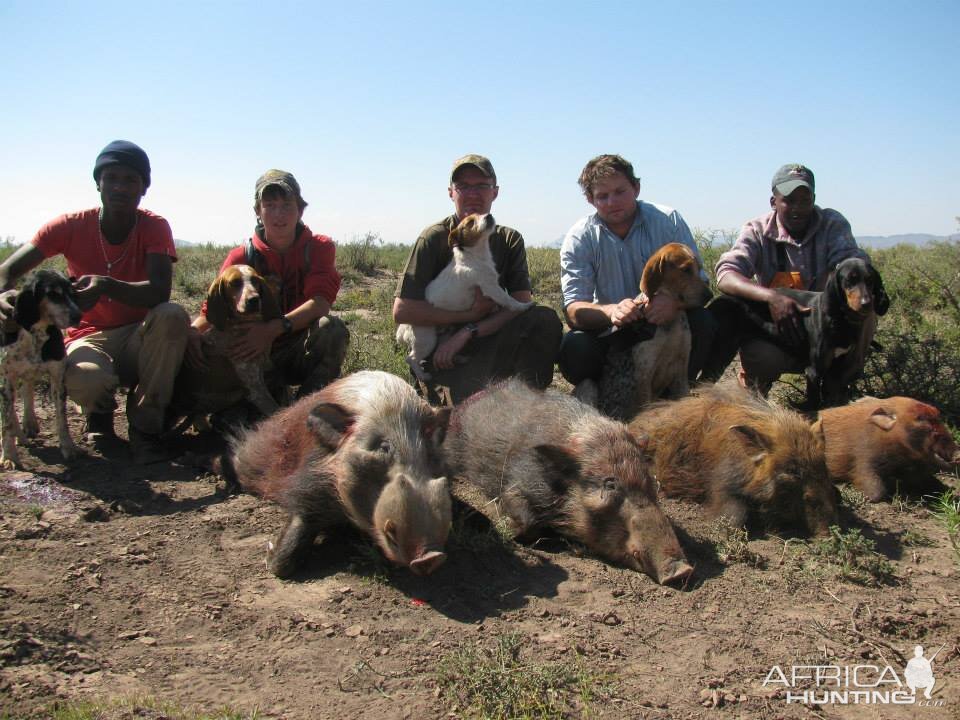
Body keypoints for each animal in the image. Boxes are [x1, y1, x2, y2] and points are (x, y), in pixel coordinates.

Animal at [0, 270, 81, 466]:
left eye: (72, 292)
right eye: (52, 294)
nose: (78, 316)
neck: (36, 334)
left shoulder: (58, 377)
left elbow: (62, 418)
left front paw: (68, 447)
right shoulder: (7, 378)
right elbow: (7, 420)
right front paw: (9, 455)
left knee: (27, 390)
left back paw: (27, 426)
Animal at [396, 212, 532, 382]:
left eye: (481, 215)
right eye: (470, 222)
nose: (489, 215)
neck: (476, 255)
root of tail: (404, 327)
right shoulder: (490, 287)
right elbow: (509, 300)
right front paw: (523, 306)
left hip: (444, 334)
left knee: (439, 351)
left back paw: (457, 358)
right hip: (426, 339)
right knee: (411, 358)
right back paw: (423, 375)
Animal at [576, 243, 712, 420]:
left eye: (699, 268)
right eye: (686, 269)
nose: (710, 295)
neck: (669, 324)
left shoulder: (681, 369)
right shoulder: (644, 375)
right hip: (588, 384)